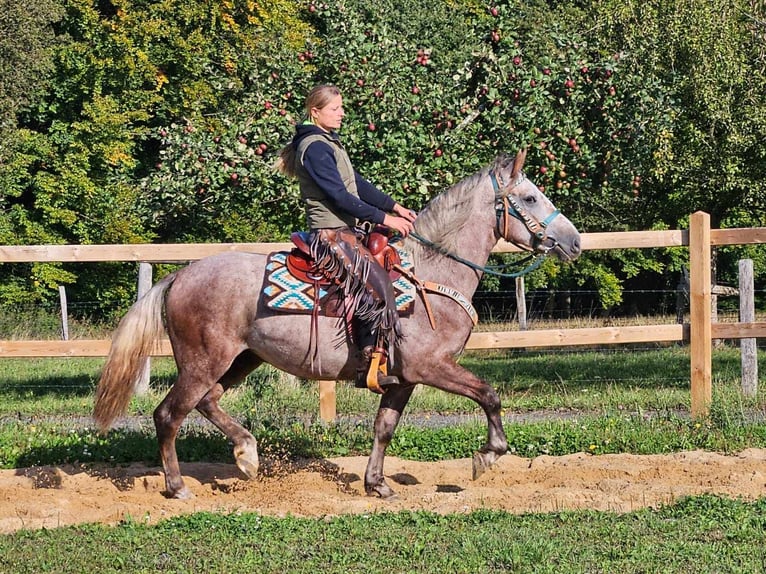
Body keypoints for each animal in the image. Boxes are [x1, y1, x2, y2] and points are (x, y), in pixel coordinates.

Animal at [93, 148, 584, 500]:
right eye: (529, 197)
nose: (574, 241)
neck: (431, 273)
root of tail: (180, 275)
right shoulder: (431, 367)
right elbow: (489, 394)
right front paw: (488, 456)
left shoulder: (404, 378)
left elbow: (384, 427)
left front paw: (377, 484)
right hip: (203, 361)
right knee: (169, 414)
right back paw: (177, 487)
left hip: (240, 360)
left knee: (207, 402)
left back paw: (247, 455)